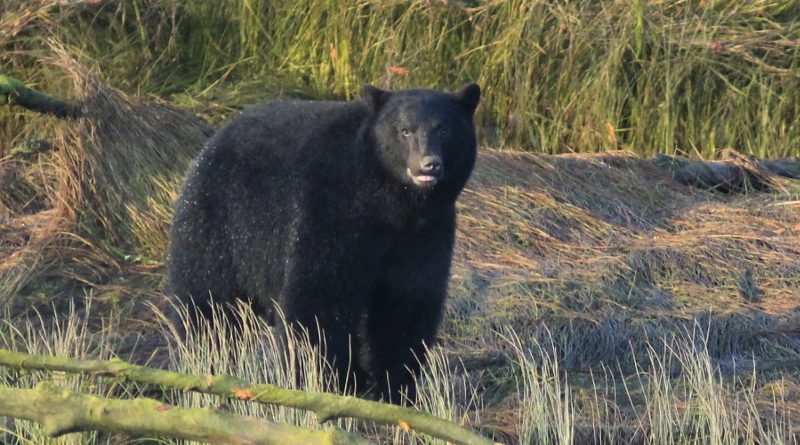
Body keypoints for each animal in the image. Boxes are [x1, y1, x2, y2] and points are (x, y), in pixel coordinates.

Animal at [168, 83, 478, 402]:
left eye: (444, 129)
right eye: (404, 130)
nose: (428, 165)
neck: (392, 204)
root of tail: (213, 140)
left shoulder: (425, 232)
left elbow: (406, 300)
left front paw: (393, 388)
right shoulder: (331, 208)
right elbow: (319, 296)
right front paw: (319, 382)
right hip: (218, 222)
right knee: (208, 303)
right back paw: (205, 361)